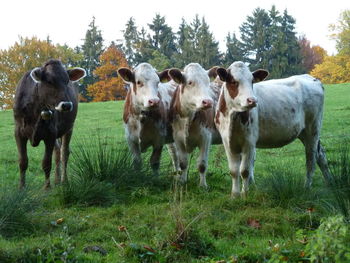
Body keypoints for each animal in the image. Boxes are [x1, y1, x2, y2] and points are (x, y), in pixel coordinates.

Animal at [13, 59, 86, 190]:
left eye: (67, 81)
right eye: (49, 81)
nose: (66, 105)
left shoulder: (50, 133)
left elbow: (46, 162)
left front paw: (47, 187)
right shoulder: (18, 132)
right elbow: (22, 161)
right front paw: (21, 188)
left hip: (69, 128)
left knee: (64, 153)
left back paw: (64, 181)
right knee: (57, 152)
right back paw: (56, 180)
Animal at [216, 61, 330, 198]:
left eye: (252, 81)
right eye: (233, 81)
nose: (252, 100)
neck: (233, 118)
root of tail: (311, 78)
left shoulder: (249, 142)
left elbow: (245, 171)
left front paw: (245, 195)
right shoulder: (228, 142)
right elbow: (233, 171)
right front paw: (234, 195)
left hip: (312, 129)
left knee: (311, 160)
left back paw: (307, 187)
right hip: (304, 132)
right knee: (321, 155)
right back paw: (330, 183)